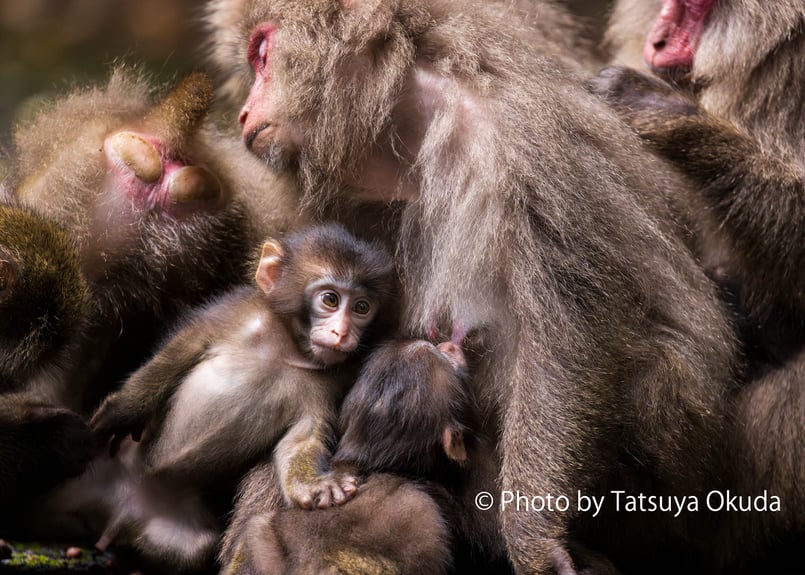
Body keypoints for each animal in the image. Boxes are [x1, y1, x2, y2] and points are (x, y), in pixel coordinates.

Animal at [206, 1, 740, 573]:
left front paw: (534, 537)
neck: (406, 127)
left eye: (262, 53)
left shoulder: (518, 140)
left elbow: (565, 339)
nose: (244, 112)